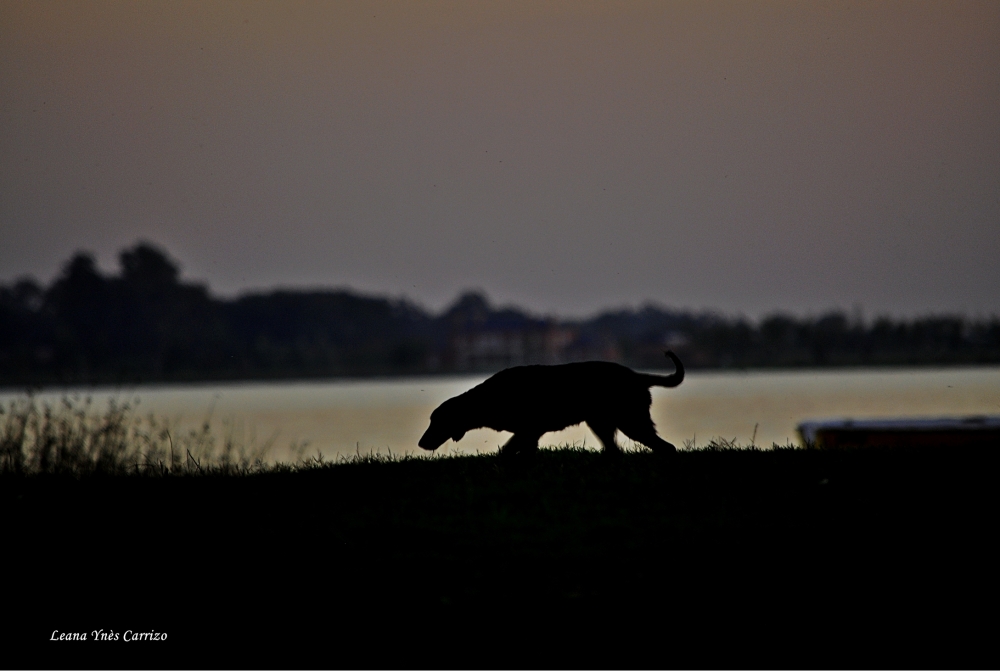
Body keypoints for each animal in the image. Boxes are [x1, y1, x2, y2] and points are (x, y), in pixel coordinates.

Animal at [418, 352, 684, 456]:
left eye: (436, 422)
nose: (420, 443)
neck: (489, 397)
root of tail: (637, 376)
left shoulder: (528, 430)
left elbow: (507, 451)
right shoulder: (529, 434)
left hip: (632, 422)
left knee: (666, 447)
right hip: (602, 424)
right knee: (615, 450)